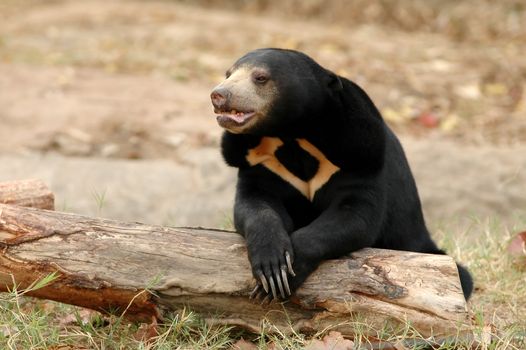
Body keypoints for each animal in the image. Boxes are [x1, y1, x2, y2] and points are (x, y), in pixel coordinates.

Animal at [210, 47, 474, 302]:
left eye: (260, 78)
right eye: (228, 73)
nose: (218, 95)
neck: (292, 135)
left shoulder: (358, 156)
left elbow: (356, 216)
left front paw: (288, 273)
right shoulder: (258, 162)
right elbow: (255, 205)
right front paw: (272, 268)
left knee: (463, 277)